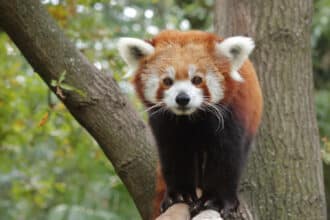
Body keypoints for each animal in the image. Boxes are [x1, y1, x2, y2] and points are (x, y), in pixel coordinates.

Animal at [117, 30, 262, 219]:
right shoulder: (166, 122)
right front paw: (181, 194)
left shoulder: (231, 115)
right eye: (167, 81)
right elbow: (175, 154)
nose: (182, 98)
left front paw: (215, 200)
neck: (191, 118)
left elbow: (226, 157)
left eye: (197, 79)